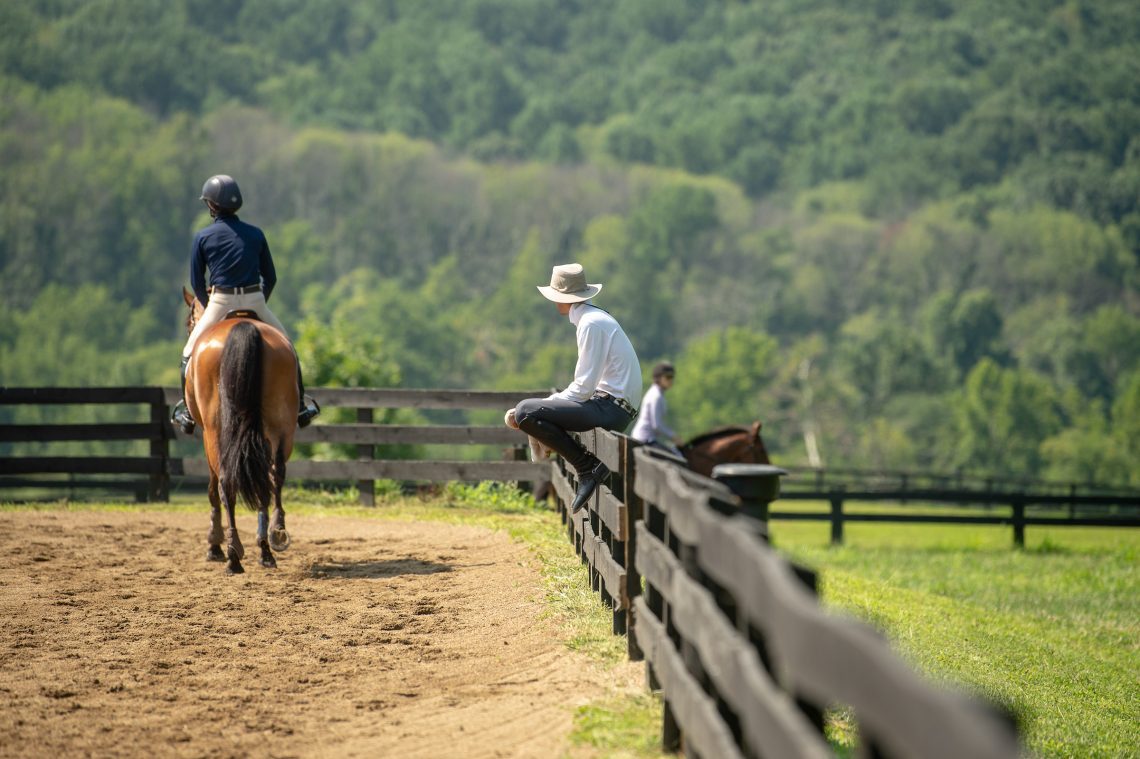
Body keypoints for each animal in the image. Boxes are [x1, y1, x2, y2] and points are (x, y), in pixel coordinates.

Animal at [181, 287, 294, 569]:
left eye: (189, 323)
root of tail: (242, 326)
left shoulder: (206, 436)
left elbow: (212, 490)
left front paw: (214, 545)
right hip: (281, 426)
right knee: (273, 476)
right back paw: (272, 540)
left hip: (214, 431)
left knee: (225, 482)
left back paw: (233, 553)